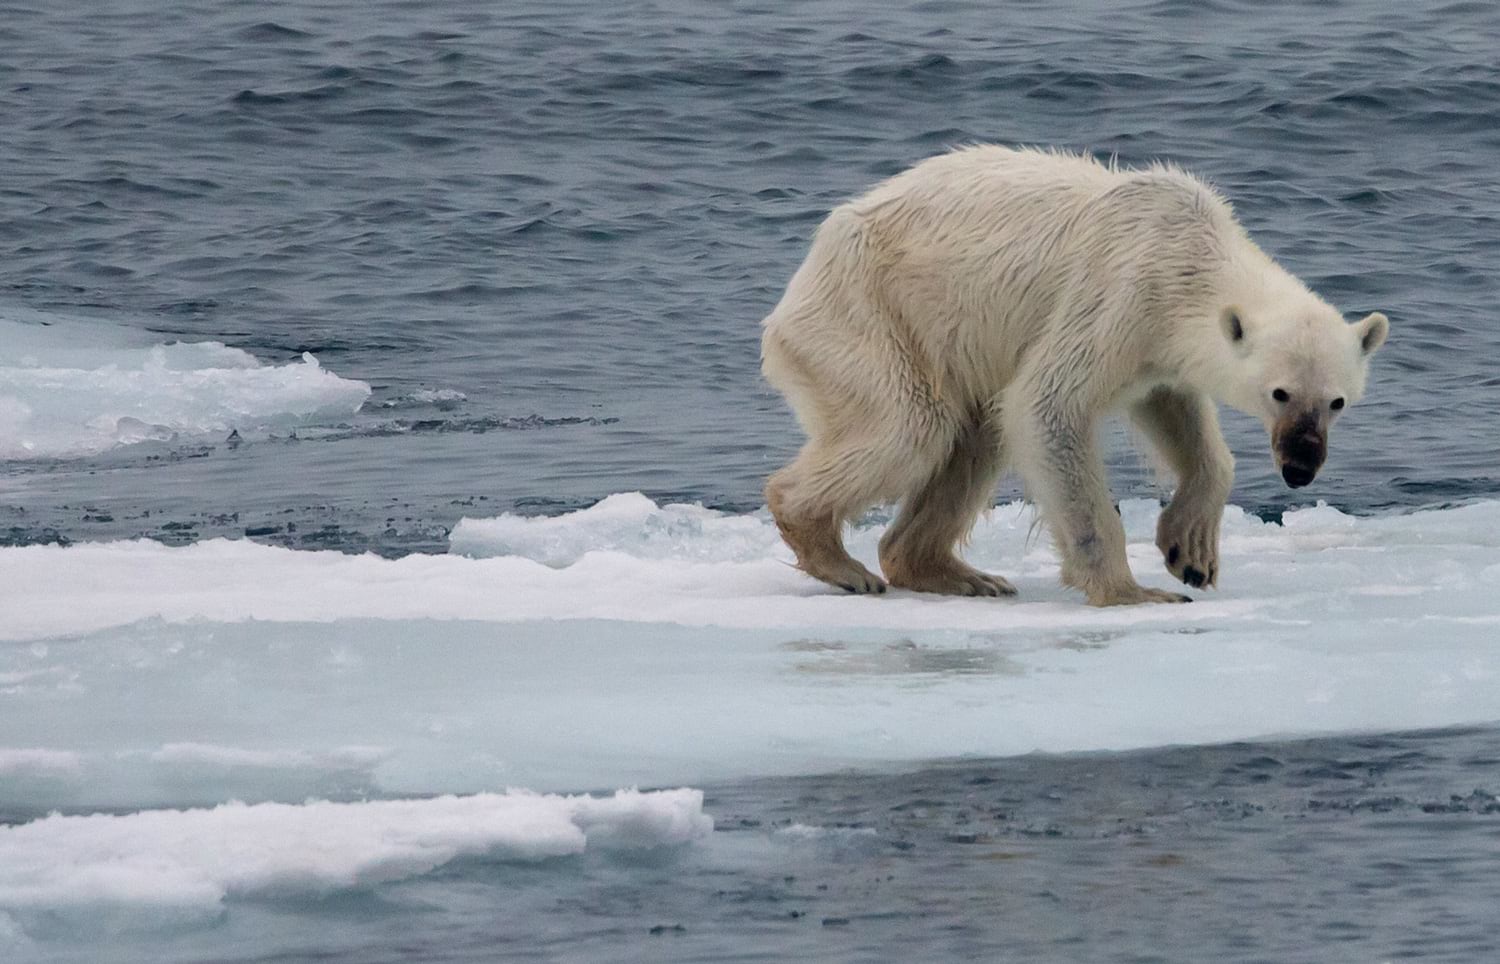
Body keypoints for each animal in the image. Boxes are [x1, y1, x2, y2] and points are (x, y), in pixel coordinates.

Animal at [768, 145, 1386, 602]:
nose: (1300, 466)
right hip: (871, 316)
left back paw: (959, 574)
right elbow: (1048, 405)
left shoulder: (1156, 346)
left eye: (1337, 402)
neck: (1188, 254)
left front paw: (1190, 552)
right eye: (1279, 392)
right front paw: (1133, 591)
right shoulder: (1118, 293)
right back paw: (838, 558)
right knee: (912, 427)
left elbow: (1176, 411)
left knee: (975, 436)